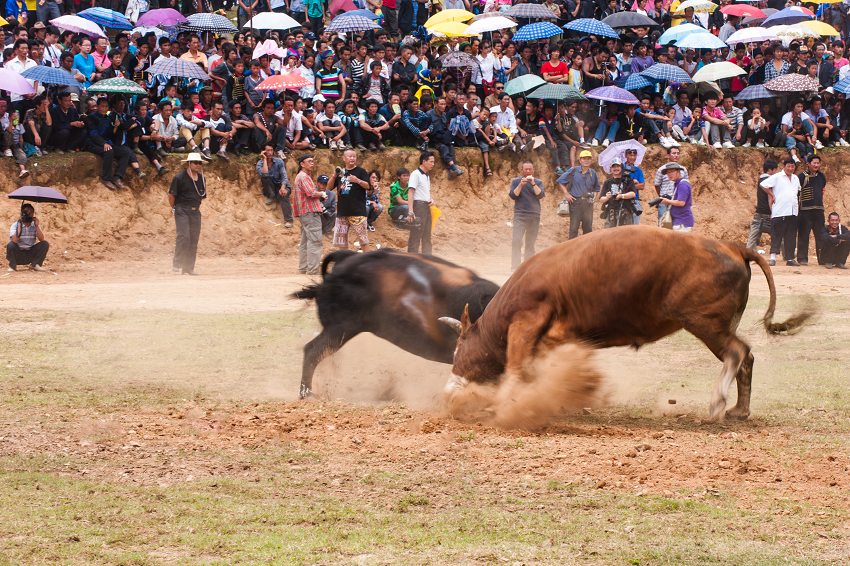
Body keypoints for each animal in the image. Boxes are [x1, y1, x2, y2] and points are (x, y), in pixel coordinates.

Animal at [440, 226, 812, 422]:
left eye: (458, 350)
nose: (450, 388)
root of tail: (731, 245)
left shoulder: (527, 322)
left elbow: (517, 367)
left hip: (706, 324)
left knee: (737, 352)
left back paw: (719, 401)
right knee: (746, 358)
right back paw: (739, 409)